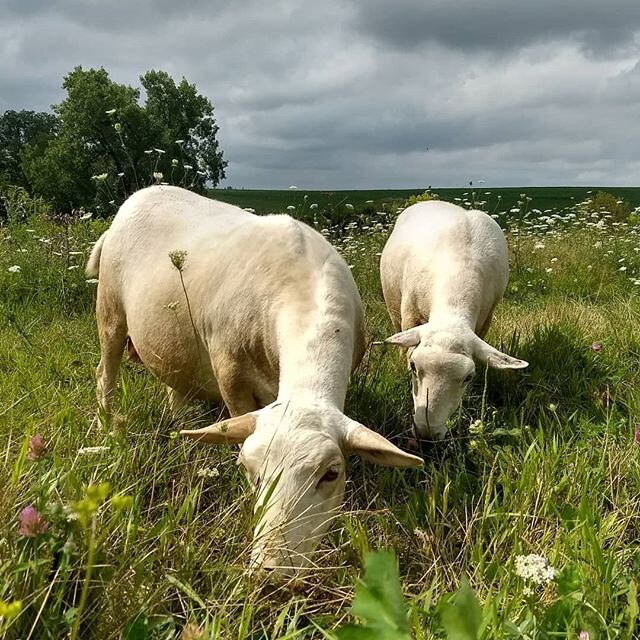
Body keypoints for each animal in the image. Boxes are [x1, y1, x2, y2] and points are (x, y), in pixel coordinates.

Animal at [89, 184, 420, 576]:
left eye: (331, 474)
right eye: (249, 471)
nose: (273, 571)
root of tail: (141, 195)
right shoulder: (231, 377)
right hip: (109, 310)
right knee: (104, 373)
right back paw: (106, 428)